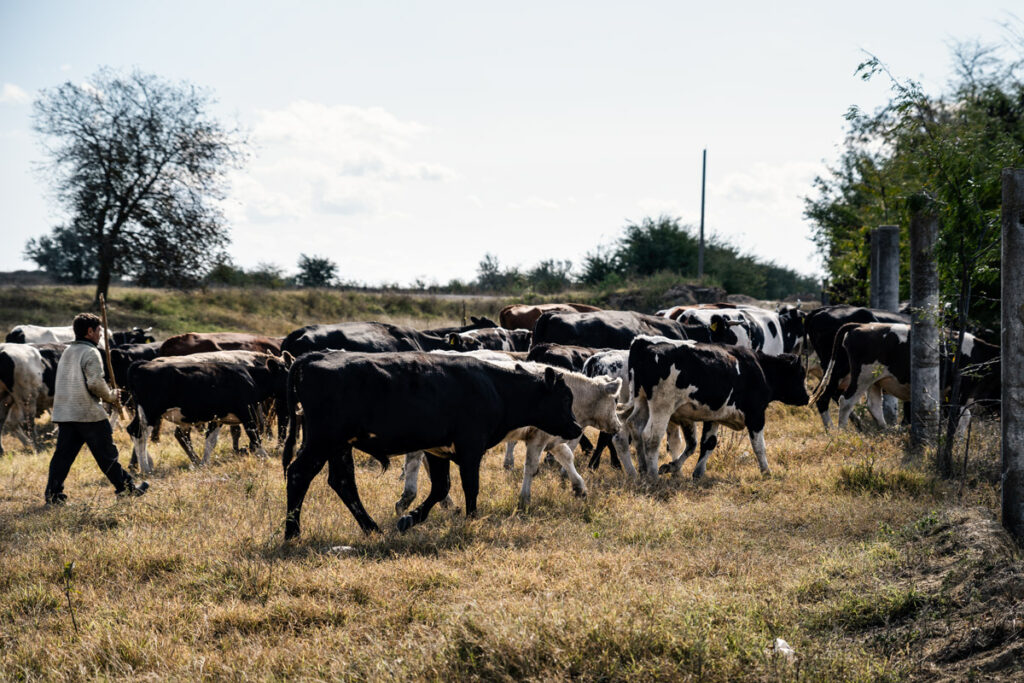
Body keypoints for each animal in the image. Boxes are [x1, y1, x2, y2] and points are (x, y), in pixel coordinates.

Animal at [127, 350, 292, 474]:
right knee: (141, 435)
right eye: (287, 374)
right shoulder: (247, 412)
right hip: (150, 412)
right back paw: (146, 468)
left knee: (133, 430)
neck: (250, 376)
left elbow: (210, 441)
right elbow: (255, 435)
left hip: (142, 413)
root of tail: (143, 364)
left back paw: (146, 464)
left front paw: (204, 463)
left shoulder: (218, 418)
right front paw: (267, 459)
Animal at [281, 351, 582, 539]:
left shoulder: (438, 450)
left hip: (339, 445)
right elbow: (470, 487)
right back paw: (292, 533)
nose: (577, 427)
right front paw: (472, 520)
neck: (495, 387)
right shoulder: (470, 449)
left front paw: (409, 519)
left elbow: (441, 488)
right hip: (323, 440)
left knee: (343, 482)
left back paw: (372, 528)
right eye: (565, 398)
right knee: (299, 473)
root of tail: (314, 357)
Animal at [396, 354, 622, 511]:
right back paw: (408, 497)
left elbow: (566, 456)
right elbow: (531, 467)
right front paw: (524, 500)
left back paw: (442, 503)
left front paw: (579, 488)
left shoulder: (553, 437)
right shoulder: (538, 438)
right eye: (614, 400)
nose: (618, 426)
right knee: (414, 461)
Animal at [622, 337, 809, 479]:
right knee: (651, 436)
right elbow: (759, 446)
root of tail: (644, 345)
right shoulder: (756, 415)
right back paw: (653, 475)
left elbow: (708, 443)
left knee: (635, 427)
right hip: (662, 407)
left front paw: (693, 471)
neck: (760, 368)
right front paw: (766, 471)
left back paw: (643, 469)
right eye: (800, 374)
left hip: (641, 401)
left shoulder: (714, 416)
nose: (807, 397)